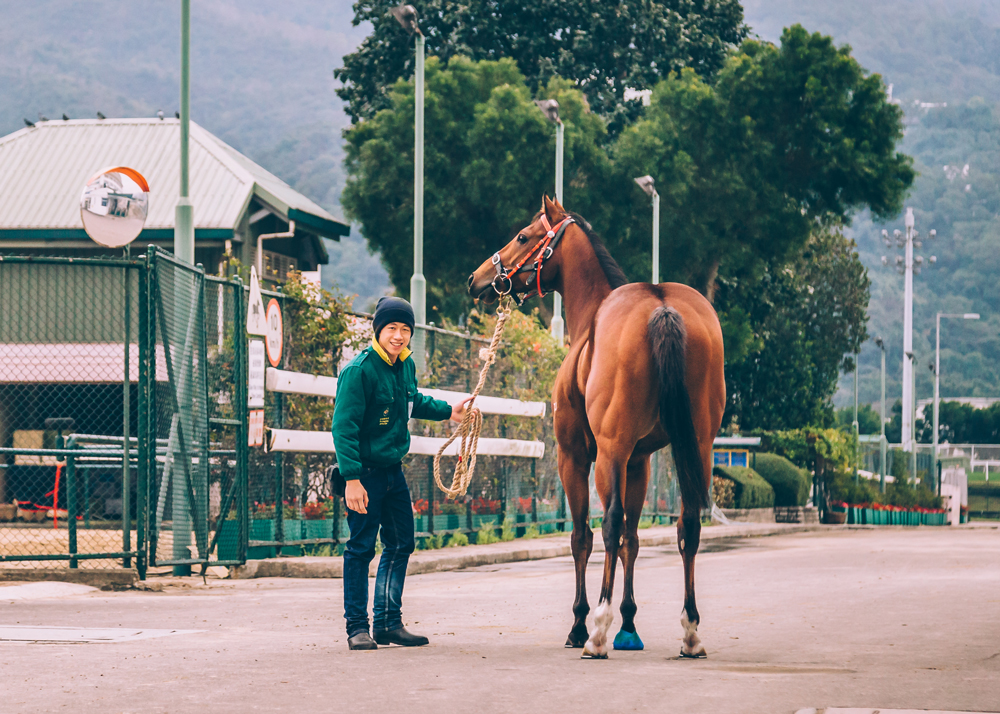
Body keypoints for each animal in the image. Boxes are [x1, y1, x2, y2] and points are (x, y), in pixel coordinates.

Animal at [468, 193, 728, 656]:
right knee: (687, 525)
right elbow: (633, 539)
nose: (477, 278)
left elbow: (583, 536)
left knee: (608, 525)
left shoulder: (575, 458)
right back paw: (690, 630)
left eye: (523, 236)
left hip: (608, 453)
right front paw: (630, 623)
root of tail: (662, 305)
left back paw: (598, 631)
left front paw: (583, 623)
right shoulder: (639, 462)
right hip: (697, 446)